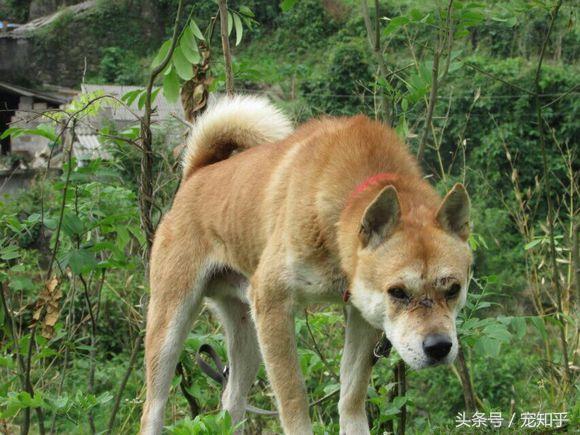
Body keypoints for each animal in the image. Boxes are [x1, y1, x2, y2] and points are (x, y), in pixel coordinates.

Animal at [139, 96, 472, 435]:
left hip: (248, 336)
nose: (439, 347)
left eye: (453, 289)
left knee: (231, 399)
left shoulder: (362, 315)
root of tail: (197, 173)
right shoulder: (273, 304)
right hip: (171, 326)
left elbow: (352, 396)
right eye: (398, 292)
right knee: (153, 408)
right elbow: (294, 397)